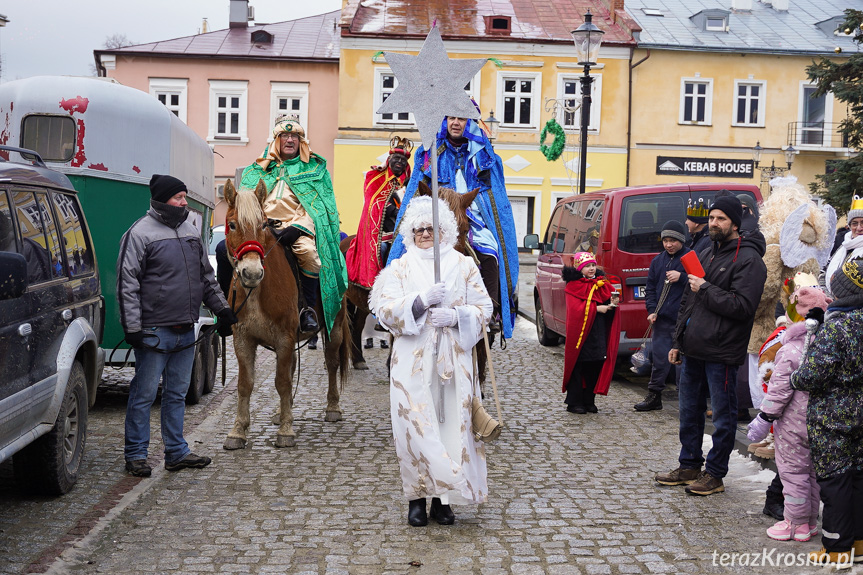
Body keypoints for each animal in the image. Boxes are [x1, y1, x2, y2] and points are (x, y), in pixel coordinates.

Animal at [223, 180, 352, 450]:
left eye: (263, 224)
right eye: (232, 224)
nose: (252, 272)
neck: (256, 293)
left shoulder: (284, 337)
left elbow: (281, 382)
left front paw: (286, 431)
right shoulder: (243, 340)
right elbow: (245, 384)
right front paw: (238, 431)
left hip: (333, 327)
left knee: (331, 363)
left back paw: (332, 407)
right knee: (292, 366)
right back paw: (281, 412)